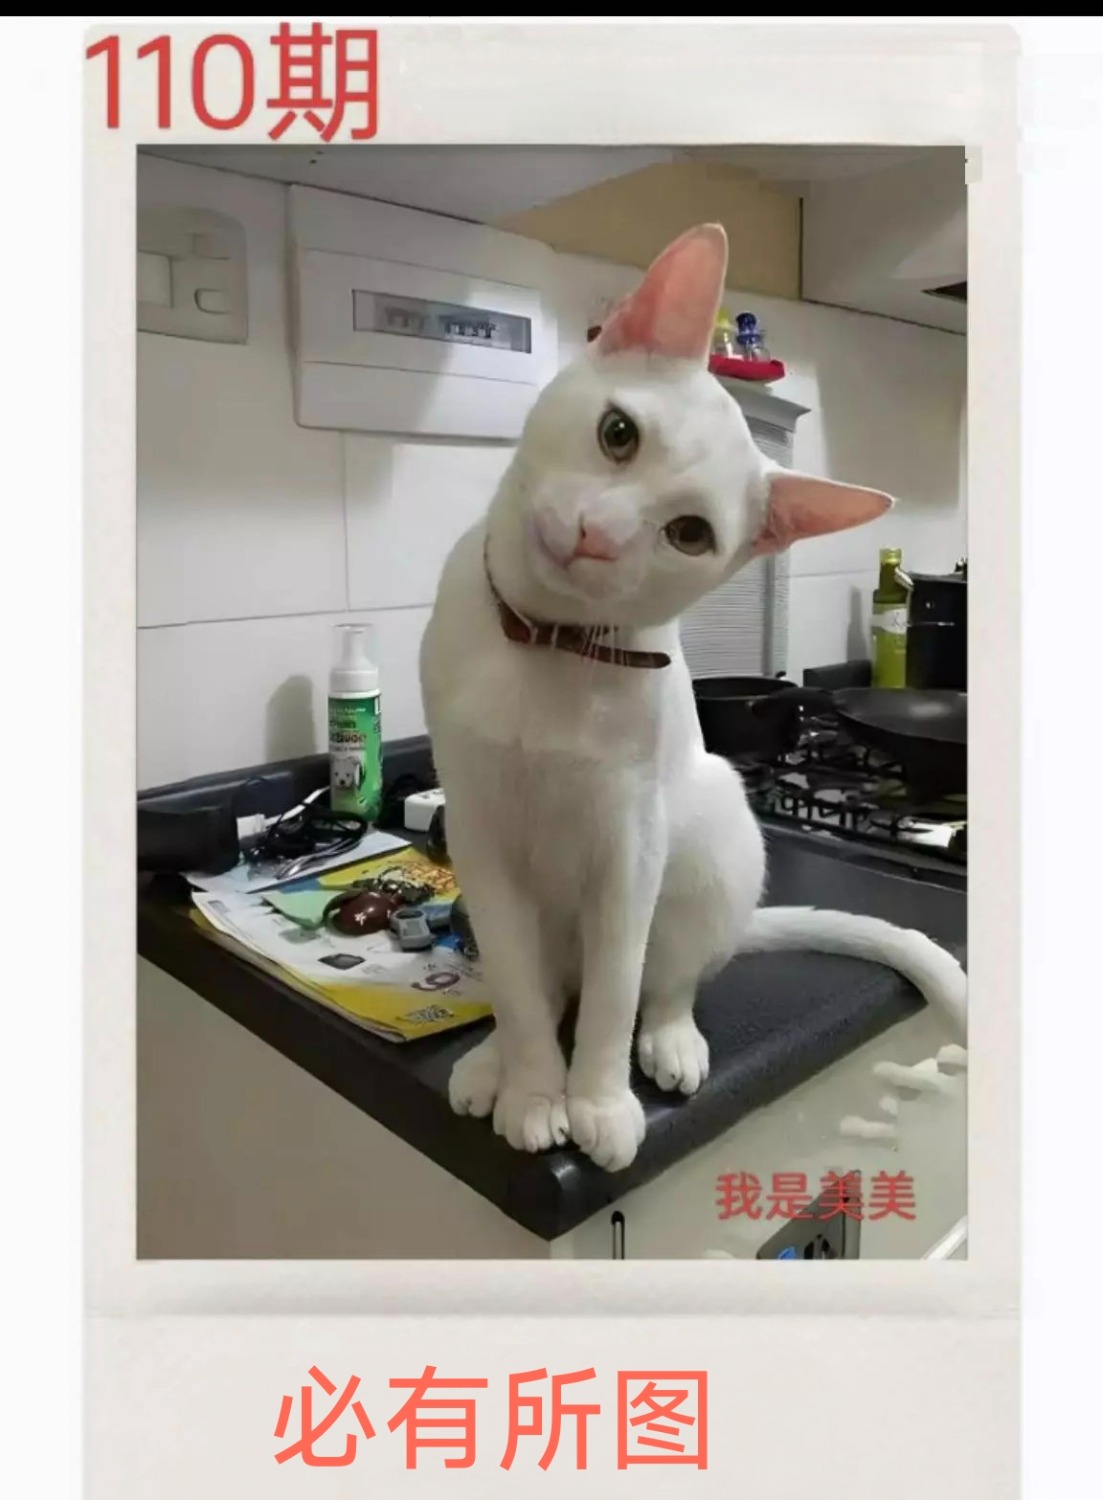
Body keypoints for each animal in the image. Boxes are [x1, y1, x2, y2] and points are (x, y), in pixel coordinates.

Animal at [419, 222, 966, 1173]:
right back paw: (488, 1061)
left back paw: (668, 1041)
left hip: (712, 834)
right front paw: (534, 1091)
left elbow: (611, 1000)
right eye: (616, 433)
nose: (597, 537)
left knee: (662, 981)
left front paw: (596, 1102)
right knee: (538, 986)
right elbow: (523, 998)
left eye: (687, 534)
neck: (548, 644)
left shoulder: (627, 845)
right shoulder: (480, 834)